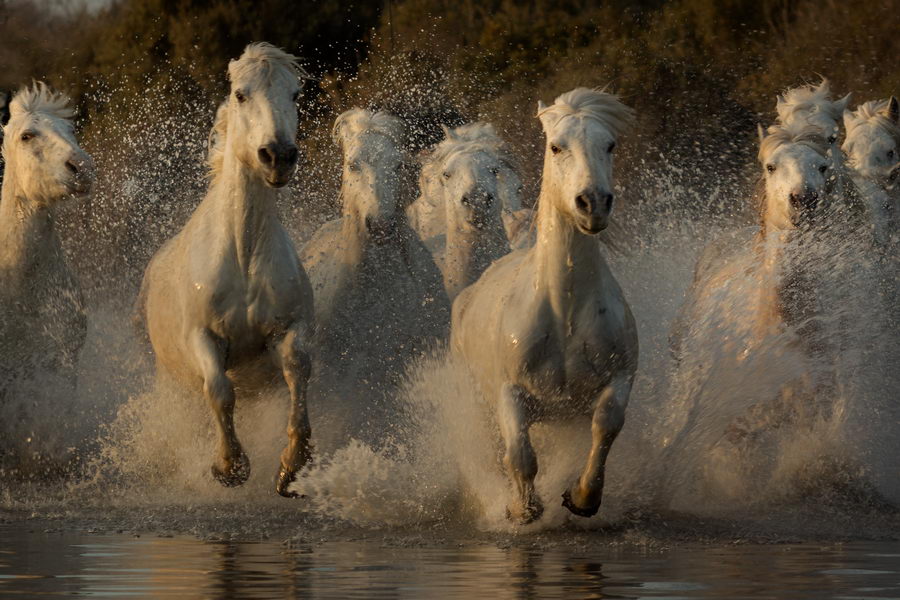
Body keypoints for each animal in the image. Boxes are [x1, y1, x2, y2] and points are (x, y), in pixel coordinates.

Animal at [135, 43, 314, 496]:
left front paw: (292, 468)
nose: (278, 156)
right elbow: (219, 390)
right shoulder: (203, 336)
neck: (243, 255)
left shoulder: (288, 328)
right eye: (240, 94)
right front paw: (229, 467)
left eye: (295, 94)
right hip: (171, 380)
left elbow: (298, 369)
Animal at [454, 89, 636, 524]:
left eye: (610, 144)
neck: (564, 313)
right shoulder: (509, 391)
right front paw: (522, 509)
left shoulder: (620, 376)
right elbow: (519, 454)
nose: (593, 203)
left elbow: (607, 426)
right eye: (556, 146)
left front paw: (581, 497)